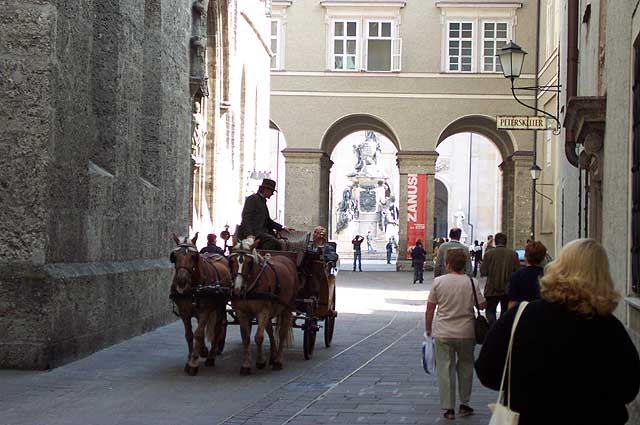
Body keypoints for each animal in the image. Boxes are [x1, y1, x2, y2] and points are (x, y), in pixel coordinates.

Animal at [169, 232, 231, 374]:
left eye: (193, 256)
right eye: (174, 256)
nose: (181, 281)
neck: (193, 288)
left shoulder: (205, 312)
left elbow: (197, 334)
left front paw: (193, 363)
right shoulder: (184, 312)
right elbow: (189, 335)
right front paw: (191, 357)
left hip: (220, 307)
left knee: (218, 329)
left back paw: (211, 356)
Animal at [228, 237, 298, 372]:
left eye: (249, 262)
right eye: (231, 261)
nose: (238, 289)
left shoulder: (262, 311)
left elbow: (259, 337)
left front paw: (260, 361)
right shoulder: (241, 312)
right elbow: (246, 338)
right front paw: (246, 364)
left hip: (286, 307)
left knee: (282, 333)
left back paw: (278, 360)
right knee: (270, 330)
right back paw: (273, 356)